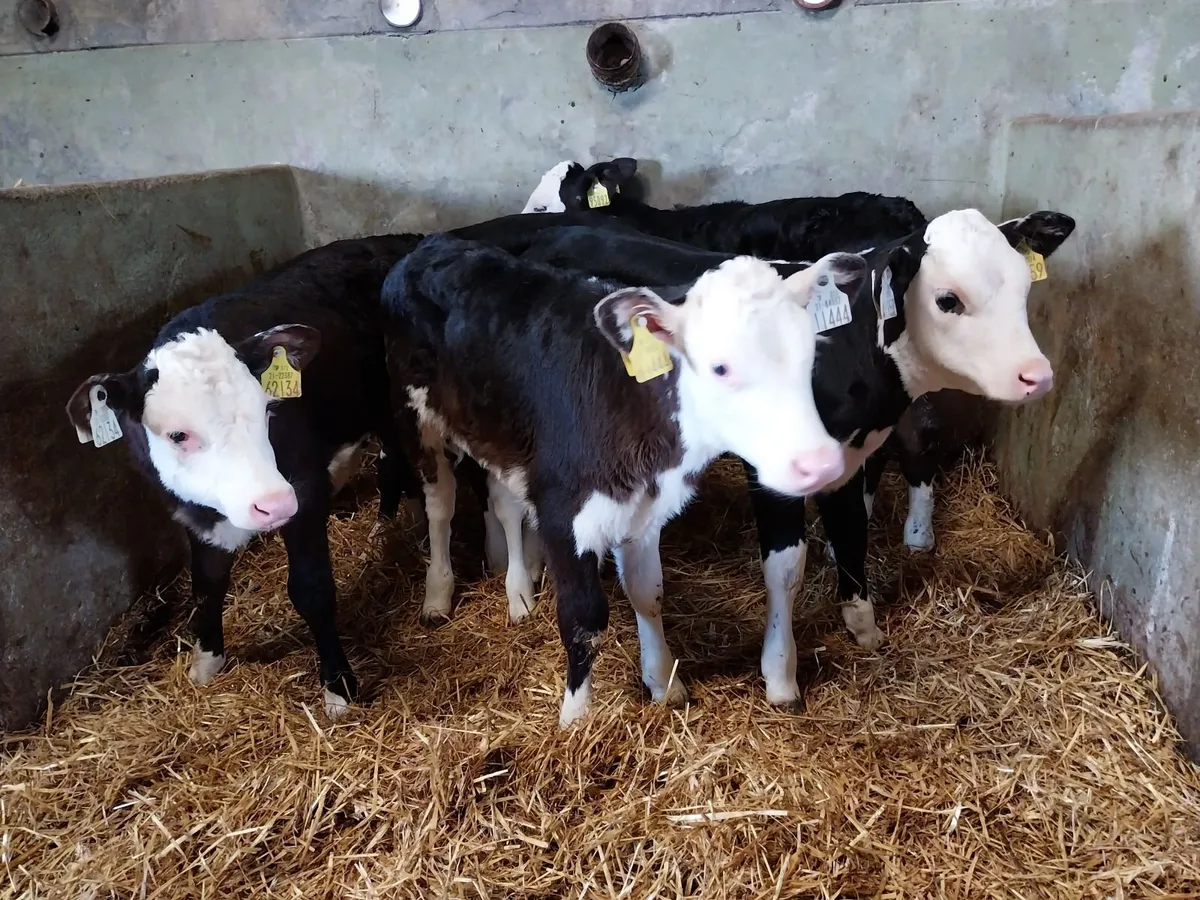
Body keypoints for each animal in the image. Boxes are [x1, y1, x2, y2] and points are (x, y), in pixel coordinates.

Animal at [66, 236, 440, 718]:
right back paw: (389, 518)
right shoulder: (192, 514)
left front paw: (338, 688)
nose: (275, 503)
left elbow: (311, 588)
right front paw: (206, 663)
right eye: (177, 434)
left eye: (266, 408)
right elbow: (206, 585)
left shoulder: (304, 489)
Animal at [381, 233, 867, 725]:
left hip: (500, 432)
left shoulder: (644, 510)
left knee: (505, 504)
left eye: (809, 355)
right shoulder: (563, 513)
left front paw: (664, 682)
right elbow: (583, 619)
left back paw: (518, 592)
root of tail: (434, 243)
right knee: (440, 504)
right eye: (720, 367)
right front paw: (576, 717)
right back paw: (438, 593)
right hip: (413, 415)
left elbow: (648, 593)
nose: (821, 463)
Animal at [491, 205, 1073, 708]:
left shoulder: (847, 459)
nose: (1037, 374)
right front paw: (781, 674)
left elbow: (853, 531)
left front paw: (863, 624)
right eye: (948, 299)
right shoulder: (773, 472)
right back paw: (521, 591)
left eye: (1023, 285)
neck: (850, 352)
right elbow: (786, 566)